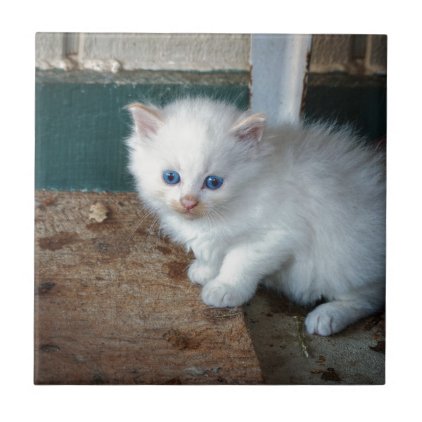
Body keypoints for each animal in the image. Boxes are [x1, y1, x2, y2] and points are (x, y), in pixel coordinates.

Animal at [126, 96, 386, 336]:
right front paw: (205, 270)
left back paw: (327, 316)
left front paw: (224, 288)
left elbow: (239, 262)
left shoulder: (275, 235)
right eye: (171, 177)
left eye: (213, 182)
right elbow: (212, 252)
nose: (188, 202)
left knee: (369, 297)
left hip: (342, 258)